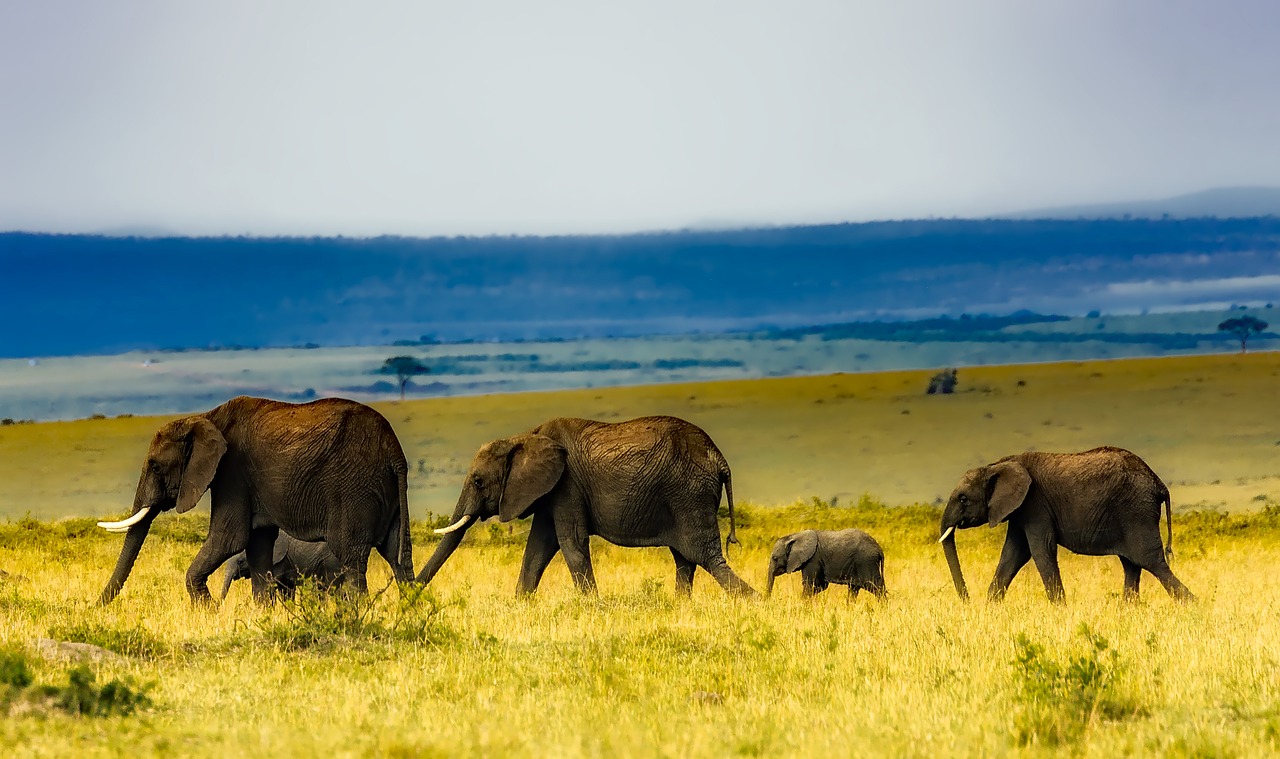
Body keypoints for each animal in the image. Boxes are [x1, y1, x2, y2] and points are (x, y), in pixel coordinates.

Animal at [96, 396, 414, 604]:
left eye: (155, 466)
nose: (95, 606)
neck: (206, 418)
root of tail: (395, 451)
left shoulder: (232, 472)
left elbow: (230, 538)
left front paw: (208, 612)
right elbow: (258, 545)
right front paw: (263, 613)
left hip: (354, 489)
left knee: (351, 557)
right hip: (386, 491)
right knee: (398, 555)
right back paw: (411, 612)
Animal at [419, 414, 752, 599]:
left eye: (477, 481)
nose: (411, 593)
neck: (524, 436)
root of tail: (719, 458)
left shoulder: (567, 485)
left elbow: (571, 542)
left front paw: (593, 606)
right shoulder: (551, 491)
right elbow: (538, 547)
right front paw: (519, 604)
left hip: (689, 494)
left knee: (705, 557)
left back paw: (754, 602)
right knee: (686, 559)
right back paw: (681, 606)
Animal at [936, 442, 1192, 604]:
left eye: (963, 499)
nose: (967, 600)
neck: (997, 465)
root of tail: (1159, 483)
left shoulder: (1035, 503)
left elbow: (1040, 550)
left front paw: (1060, 608)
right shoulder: (1020, 510)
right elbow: (1013, 553)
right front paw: (990, 607)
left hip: (1136, 512)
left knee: (1151, 561)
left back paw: (1192, 605)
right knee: (1132, 564)